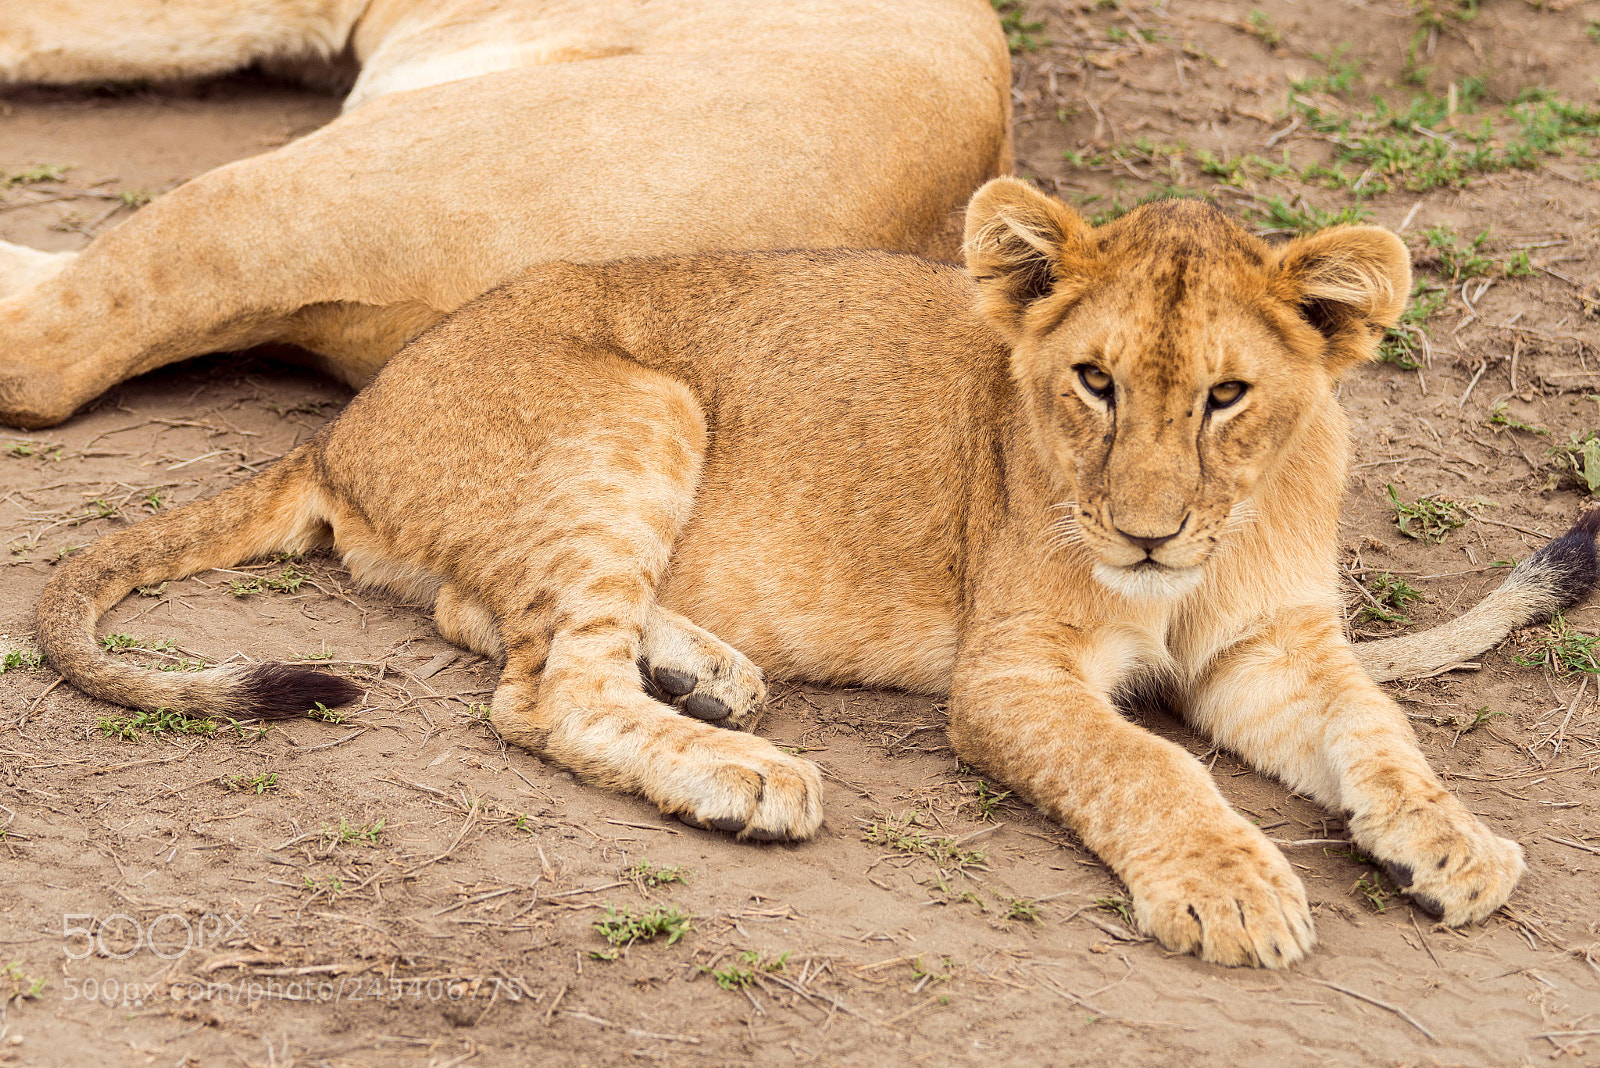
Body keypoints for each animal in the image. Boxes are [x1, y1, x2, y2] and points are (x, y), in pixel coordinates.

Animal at [34, 178, 1599, 968]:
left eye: (1226, 397)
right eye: (1092, 381)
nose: (1145, 535)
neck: (1199, 560)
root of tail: (342, 428)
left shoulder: (1272, 650)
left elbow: (1380, 734)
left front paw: (1454, 844)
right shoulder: (1010, 671)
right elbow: (1148, 765)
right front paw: (1231, 892)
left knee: (495, 613)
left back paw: (711, 671)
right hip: (642, 404)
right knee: (543, 688)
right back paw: (740, 768)